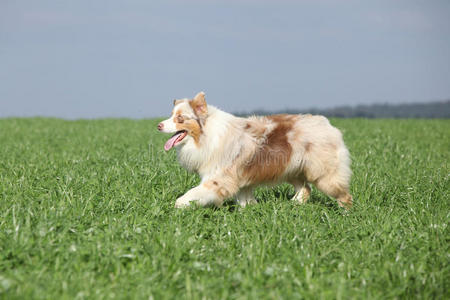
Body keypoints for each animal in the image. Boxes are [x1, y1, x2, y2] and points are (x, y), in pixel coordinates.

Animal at [157, 91, 352, 209]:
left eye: (180, 118)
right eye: (171, 115)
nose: (158, 125)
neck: (207, 135)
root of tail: (328, 124)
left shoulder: (218, 178)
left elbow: (193, 193)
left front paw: (177, 205)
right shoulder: (240, 179)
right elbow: (245, 199)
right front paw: (249, 209)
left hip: (324, 173)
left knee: (343, 195)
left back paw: (345, 213)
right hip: (291, 168)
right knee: (305, 188)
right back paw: (293, 205)